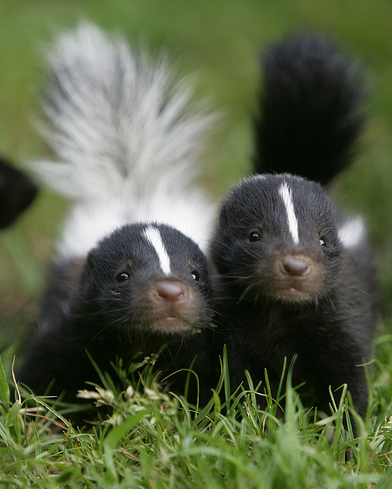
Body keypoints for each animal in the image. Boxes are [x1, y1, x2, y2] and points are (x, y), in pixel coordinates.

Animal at [15, 21, 216, 404]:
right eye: (122, 275)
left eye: (195, 275)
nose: (171, 291)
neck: (144, 341)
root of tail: (132, 187)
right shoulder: (74, 325)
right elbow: (42, 373)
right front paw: (34, 411)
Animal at [211, 32, 380, 420]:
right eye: (254, 235)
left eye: (322, 240)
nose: (295, 265)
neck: (282, 313)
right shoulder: (236, 327)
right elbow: (243, 379)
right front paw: (257, 419)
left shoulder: (342, 314)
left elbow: (350, 376)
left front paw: (346, 429)